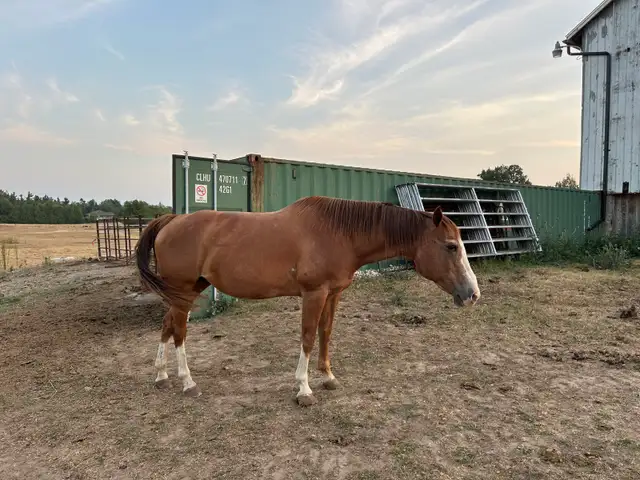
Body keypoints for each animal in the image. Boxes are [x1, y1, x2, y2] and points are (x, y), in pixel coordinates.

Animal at [135, 195, 481, 406]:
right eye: (451, 246)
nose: (472, 294)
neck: (340, 233)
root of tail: (171, 221)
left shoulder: (333, 294)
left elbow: (325, 333)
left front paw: (328, 377)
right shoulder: (314, 293)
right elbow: (308, 337)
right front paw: (303, 388)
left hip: (186, 290)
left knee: (167, 325)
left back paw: (161, 376)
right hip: (183, 290)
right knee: (179, 331)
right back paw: (187, 382)